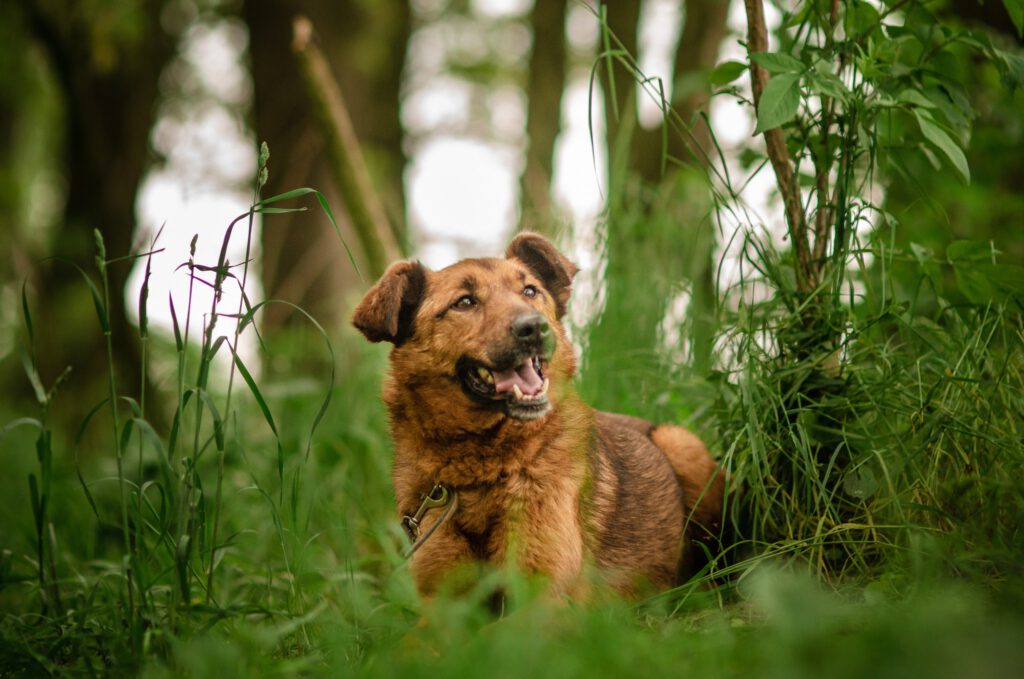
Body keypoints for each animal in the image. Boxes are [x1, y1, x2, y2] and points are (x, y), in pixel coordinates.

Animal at [356, 232, 724, 593]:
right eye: (464, 302)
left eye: (530, 291)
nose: (534, 327)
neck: (482, 472)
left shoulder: (542, 593)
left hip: (682, 444)